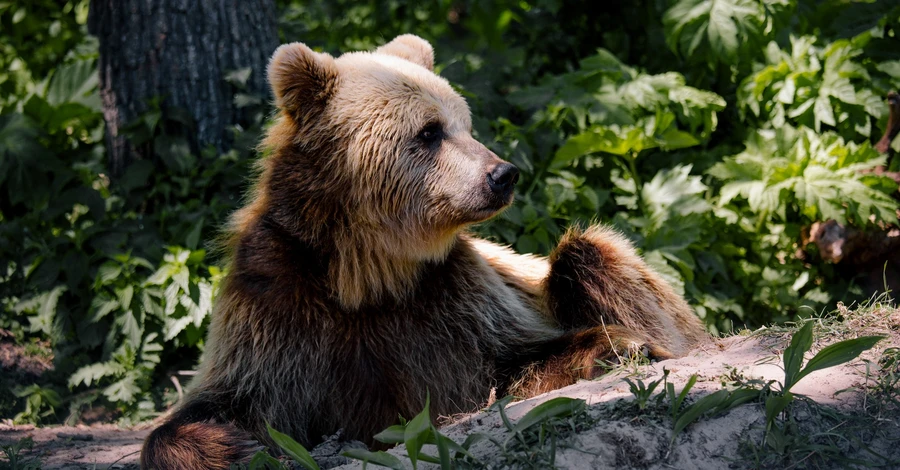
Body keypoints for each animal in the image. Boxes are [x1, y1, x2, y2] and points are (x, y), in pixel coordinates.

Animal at [141, 35, 708, 468]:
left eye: (465, 123)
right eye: (430, 131)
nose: (502, 174)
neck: (367, 272)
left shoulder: (448, 303)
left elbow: (511, 360)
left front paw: (618, 344)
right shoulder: (280, 301)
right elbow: (222, 402)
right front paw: (231, 446)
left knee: (586, 254)